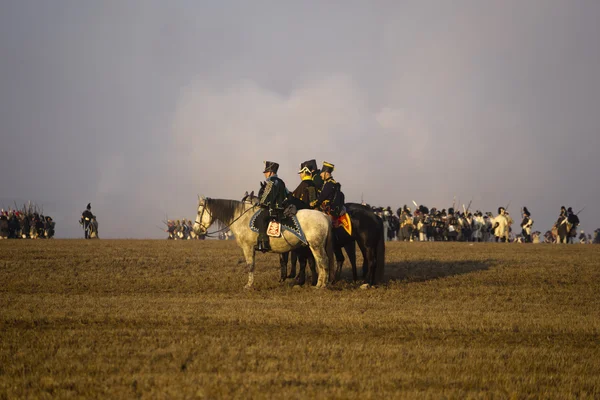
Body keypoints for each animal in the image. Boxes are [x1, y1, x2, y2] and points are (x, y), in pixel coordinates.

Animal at [193, 196, 336, 288]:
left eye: (199, 212)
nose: (195, 230)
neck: (242, 219)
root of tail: (324, 216)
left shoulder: (248, 248)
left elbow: (250, 266)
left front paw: (248, 285)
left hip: (316, 246)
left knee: (323, 261)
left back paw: (321, 285)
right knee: (319, 262)